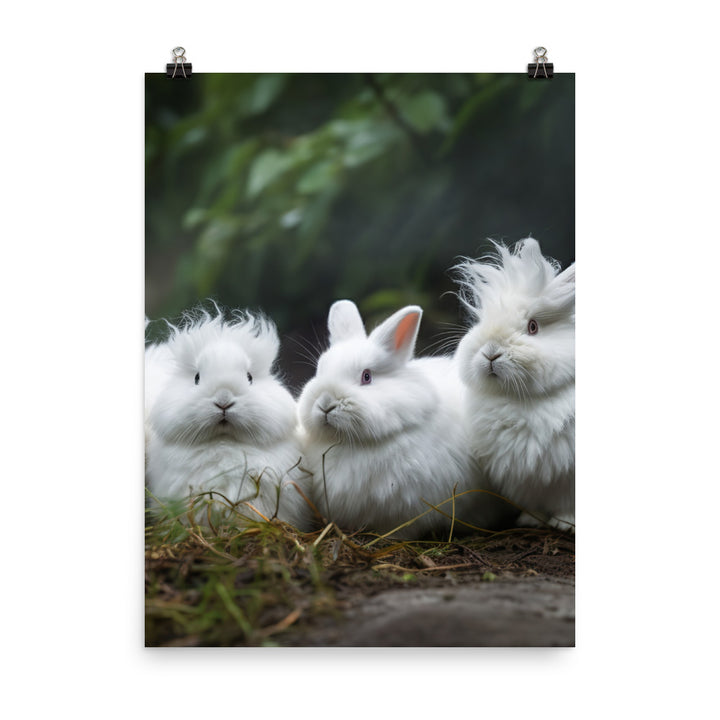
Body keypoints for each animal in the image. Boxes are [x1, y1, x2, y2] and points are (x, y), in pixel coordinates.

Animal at [454, 237, 575, 532]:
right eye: (481, 322)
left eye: (532, 327)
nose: (490, 353)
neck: (519, 400)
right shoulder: (527, 479)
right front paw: (530, 520)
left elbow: (568, 504)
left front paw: (566, 524)